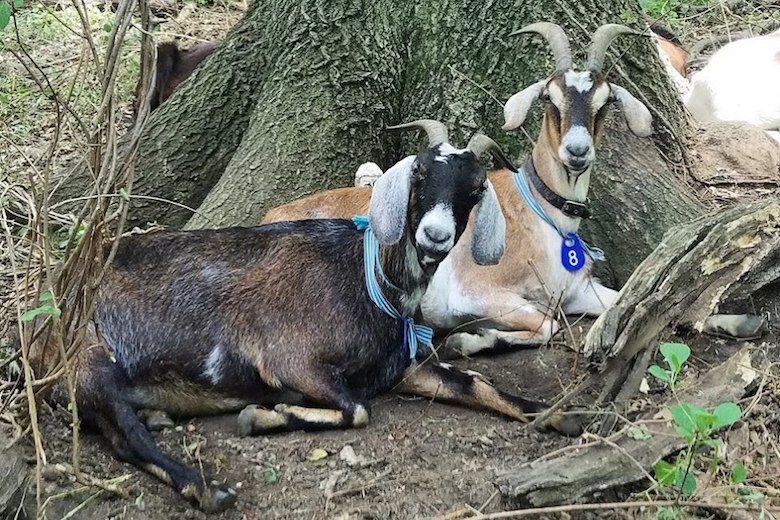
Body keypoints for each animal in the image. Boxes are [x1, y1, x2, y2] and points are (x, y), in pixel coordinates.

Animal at [27, 121, 580, 512]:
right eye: (419, 173)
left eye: (476, 189)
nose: (435, 236)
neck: (366, 277)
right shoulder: (292, 360)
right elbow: (357, 409)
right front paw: (264, 414)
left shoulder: (407, 365)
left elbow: (478, 385)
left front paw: (559, 415)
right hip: (91, 361)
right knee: (124, 438)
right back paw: (206, 488)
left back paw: (159, 415)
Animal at [262, 23, 652, 358]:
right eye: (548, 97)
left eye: (607, 101)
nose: (577, 151)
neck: (541, 213)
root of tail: (271, 214)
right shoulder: (474, 294)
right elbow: (547, 324)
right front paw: (465, 340)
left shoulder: (578, 292)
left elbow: (614, 303)